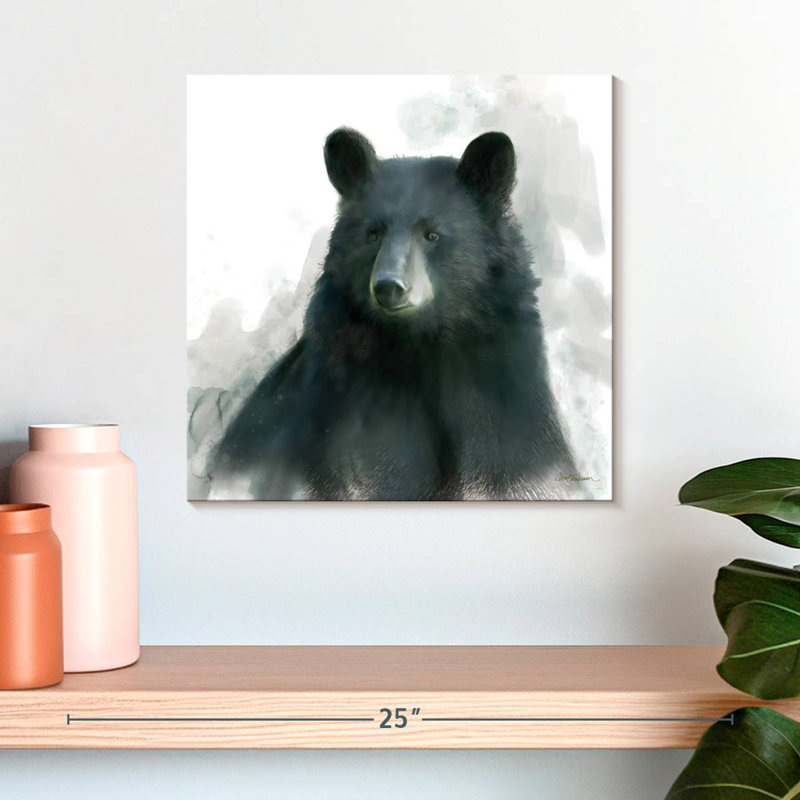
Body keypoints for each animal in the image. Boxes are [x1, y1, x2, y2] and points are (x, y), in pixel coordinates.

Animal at [211, 127, 576, 500]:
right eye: (372, 234)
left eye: (432, 234)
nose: (389, 286)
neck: (421, 347)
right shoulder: (347, 409)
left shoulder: (503, 395)